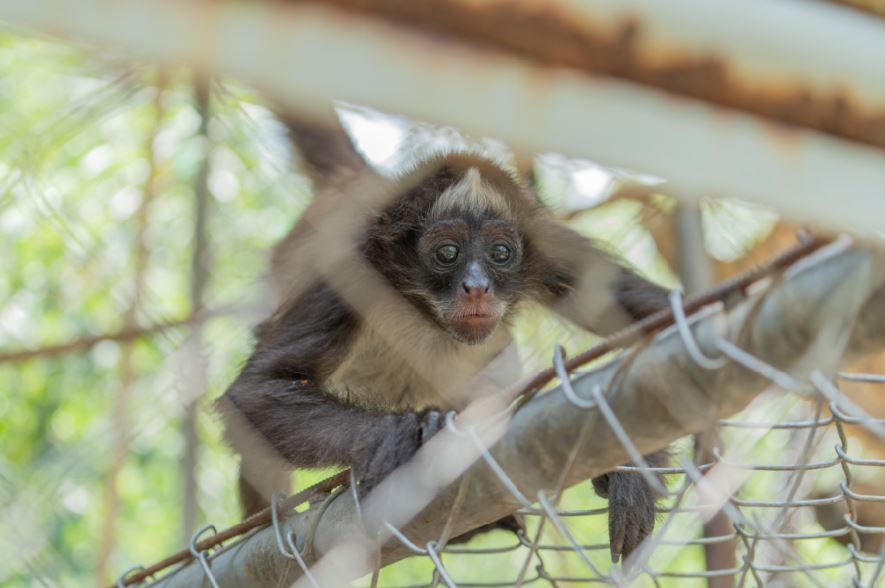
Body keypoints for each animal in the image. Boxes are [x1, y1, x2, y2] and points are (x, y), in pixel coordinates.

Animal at [219, 108, 668, 564]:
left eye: (500, 253)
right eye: (447, 253)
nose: (477, 286)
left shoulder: (548, 247)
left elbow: (660, 315)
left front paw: (635, 469)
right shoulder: (348, 264)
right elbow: (256, 392)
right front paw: (394, 436)